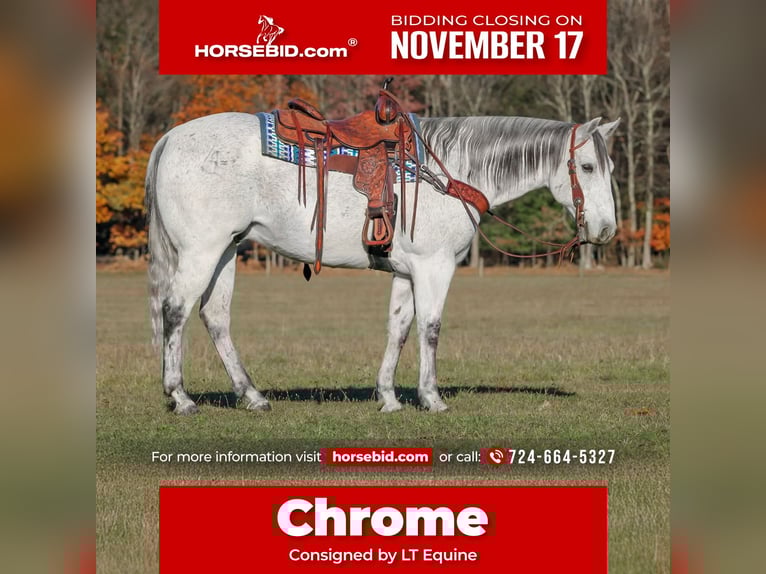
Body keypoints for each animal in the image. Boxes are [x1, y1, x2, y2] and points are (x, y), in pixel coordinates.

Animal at [145, 112, 620, 415]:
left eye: (610, 167)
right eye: (587, 166)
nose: (606, 229)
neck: (450, 171)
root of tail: (171, 138)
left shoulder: (408, 273)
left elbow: (400, 329)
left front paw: (389, 397)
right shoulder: (434, 267)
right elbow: (430, 328)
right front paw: (431, 397)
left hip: (225, 251)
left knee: (215, 317)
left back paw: (252, 396)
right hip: (201, 252)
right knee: (175, 312)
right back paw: (181, 397)